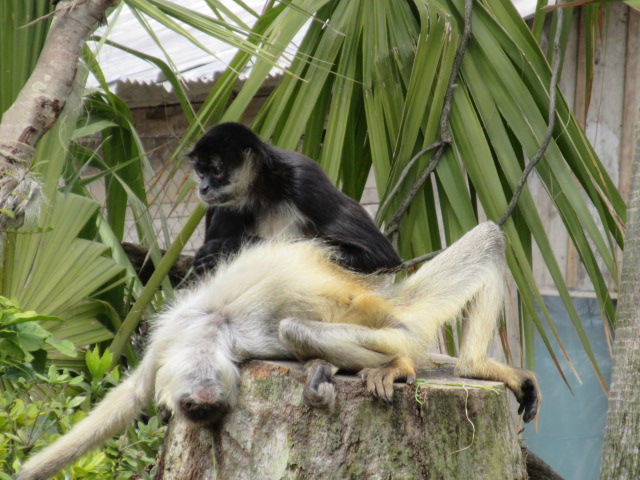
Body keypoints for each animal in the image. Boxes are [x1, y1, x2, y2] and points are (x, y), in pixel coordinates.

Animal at [15, 221, 536, 480]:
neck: (209, 328)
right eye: (196, 412)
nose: (204, 413)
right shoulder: (165, 352)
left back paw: (456, 364)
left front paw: (396, 363)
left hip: (397, 311)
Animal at [188, 122, 402, 276]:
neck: (260, 188)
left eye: (217, 171)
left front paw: (228, 247)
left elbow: (381, 255)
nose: (203, 188)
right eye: (200, 171)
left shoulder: (303, 177)